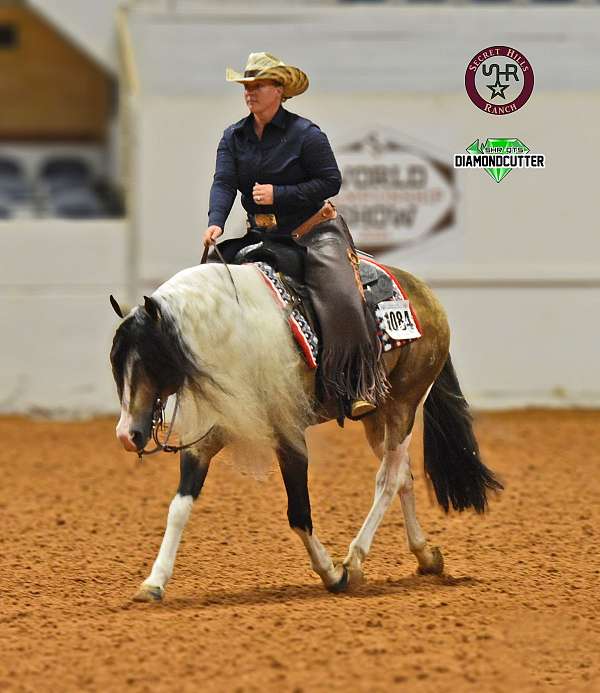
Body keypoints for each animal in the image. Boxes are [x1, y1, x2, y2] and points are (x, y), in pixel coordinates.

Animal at [109, 260, 502, 600]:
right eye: (114, 362)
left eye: (152, 359)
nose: (128, 436)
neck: (233, 335)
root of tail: (423, 292)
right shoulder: (207, 436)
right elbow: (179, 507)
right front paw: (154, 582)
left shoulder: (289, 436)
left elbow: (298, 514)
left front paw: (332, 573)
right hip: (377, 416)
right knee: (402, 474)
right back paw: (425, 555)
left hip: (404, 407)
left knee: (388, 480)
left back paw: (355, 560)